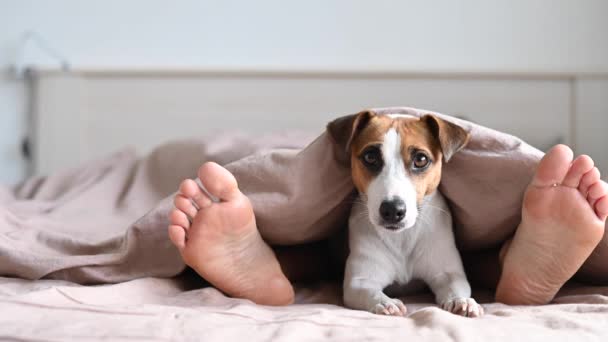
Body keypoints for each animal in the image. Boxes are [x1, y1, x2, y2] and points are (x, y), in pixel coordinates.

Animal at [330, 110, 482, 318]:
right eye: (370, 157)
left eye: (421, 159)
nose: (393, 210)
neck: (401, 238)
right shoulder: (360, 280)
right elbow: (368, 291)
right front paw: (386, 303)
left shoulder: (448, 273)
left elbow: (456, 286)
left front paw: (462, 301)